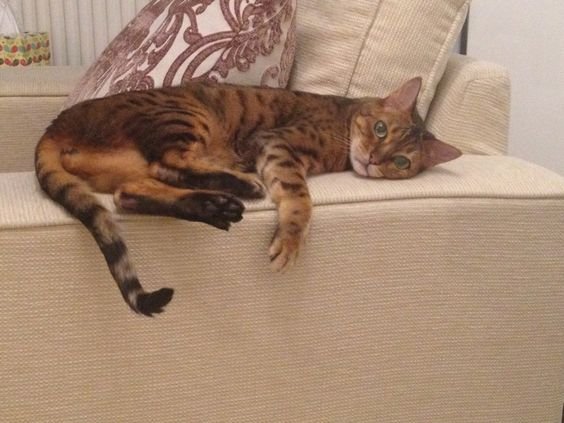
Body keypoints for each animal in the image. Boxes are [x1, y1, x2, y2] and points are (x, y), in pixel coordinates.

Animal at [33, 76, 460, 316]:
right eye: (381, 129)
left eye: (402, 162)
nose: (372, 160)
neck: (342, 123)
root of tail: (57, 126)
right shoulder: (277, 144)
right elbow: (300, 200)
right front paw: (290, 240)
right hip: (185, 115)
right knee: (167, 165)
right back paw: (239, 185)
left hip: (137, 166)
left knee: (132, 193)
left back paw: (214, 204)